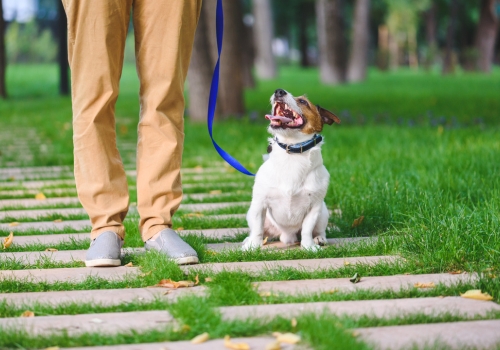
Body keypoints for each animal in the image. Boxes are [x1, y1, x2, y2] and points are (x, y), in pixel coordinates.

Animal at [241, 88, 340, 252]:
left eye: (303, 102)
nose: (279, 91)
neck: (292, 151)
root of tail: (286, 236)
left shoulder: (314, 207)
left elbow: (307, 229)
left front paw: (308, 246)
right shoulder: (259, 204)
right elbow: (257, 230)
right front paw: (252, 247)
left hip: (323, 212)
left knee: (319, 230)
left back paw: (319, 239)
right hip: (254, 214)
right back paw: (249, 240)